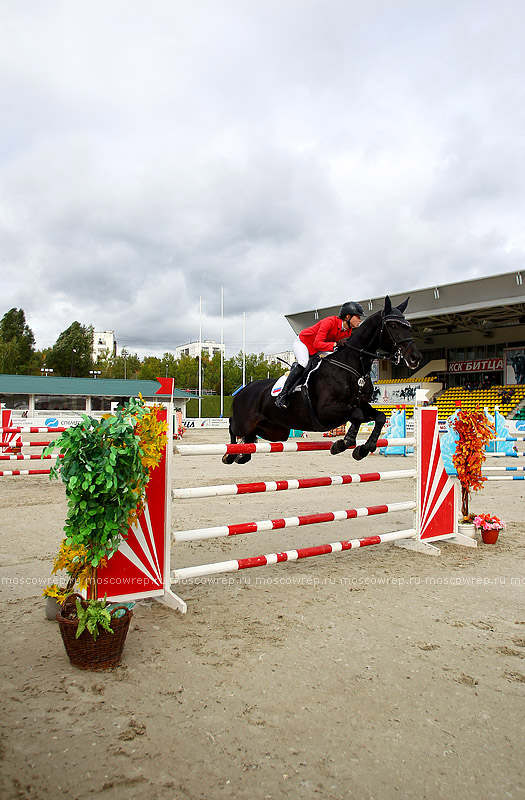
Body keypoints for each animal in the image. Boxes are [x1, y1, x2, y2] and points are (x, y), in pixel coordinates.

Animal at [222, 298, 422, 462]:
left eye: (408, 325)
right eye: (393, 326)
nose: (415, 358)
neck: (352, 367)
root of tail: (243, 390)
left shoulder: (361, 404)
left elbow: (379, 417)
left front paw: (364, 448)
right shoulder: (327, 409)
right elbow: (356, 415)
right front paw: (343, 443)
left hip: (275, 431)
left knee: (251, 436)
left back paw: (243, 455)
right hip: (245, 422)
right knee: (233, 425)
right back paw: (229, 455)